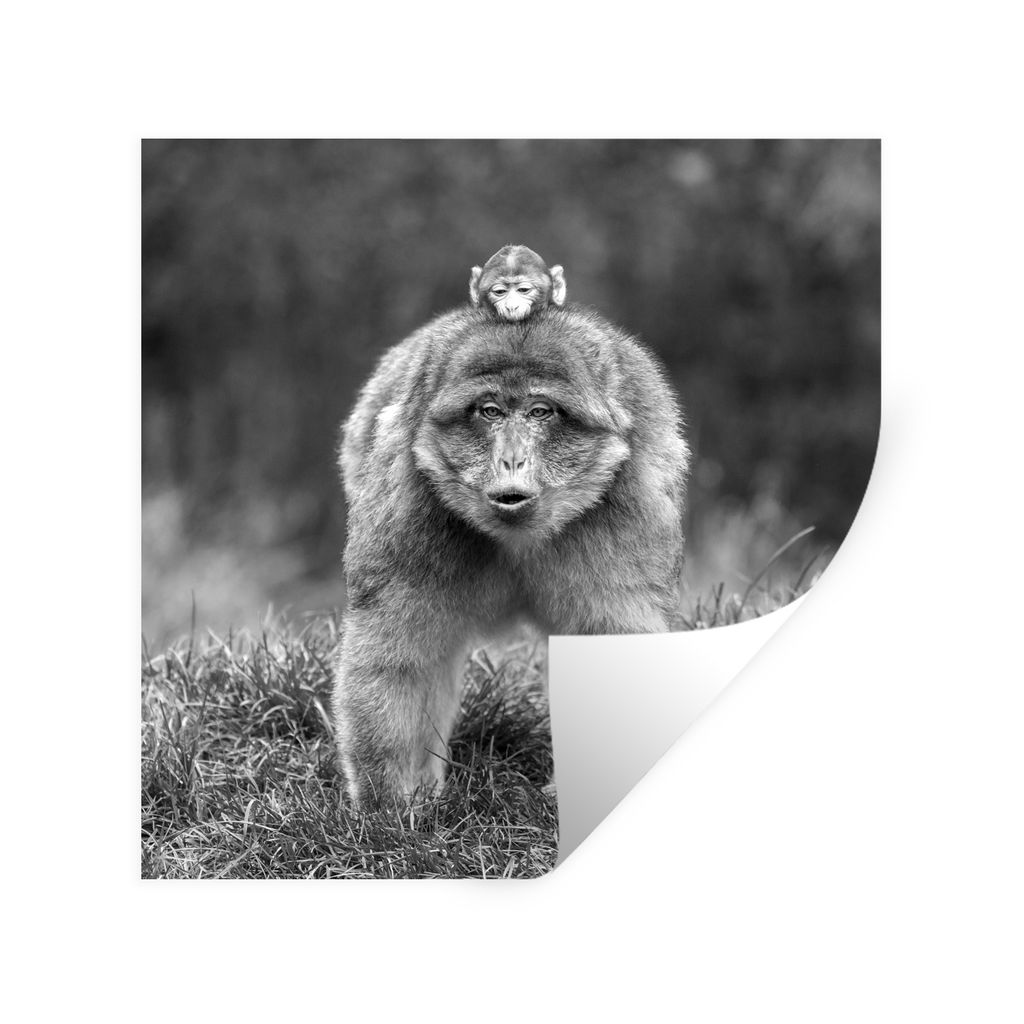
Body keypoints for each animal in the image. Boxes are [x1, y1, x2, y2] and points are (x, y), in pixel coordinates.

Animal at [333, 303, 689, 808]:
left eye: (540, 412)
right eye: (490, 412)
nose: (512, 460)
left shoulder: (629, 510)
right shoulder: (405, 506)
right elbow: (399, 652)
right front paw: (389, 806)